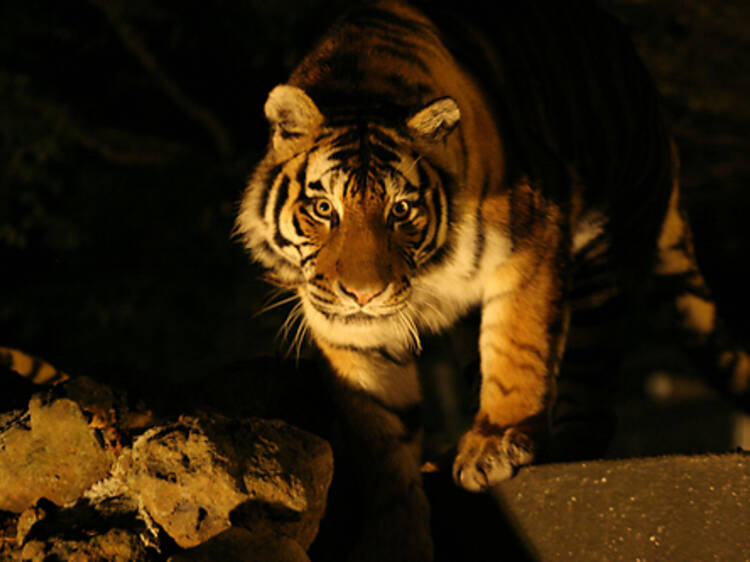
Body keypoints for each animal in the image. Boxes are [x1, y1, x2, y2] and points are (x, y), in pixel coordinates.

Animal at [235, 1, 750, 556]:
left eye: (401, 211)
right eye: (324, 209)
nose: (364, 294)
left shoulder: (533, 238)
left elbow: (515, 350)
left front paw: (498, 443)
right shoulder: (348, 328)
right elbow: (380, 435)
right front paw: (397, 536)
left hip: (602, 265)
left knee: (590, 397)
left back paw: (553, 447)